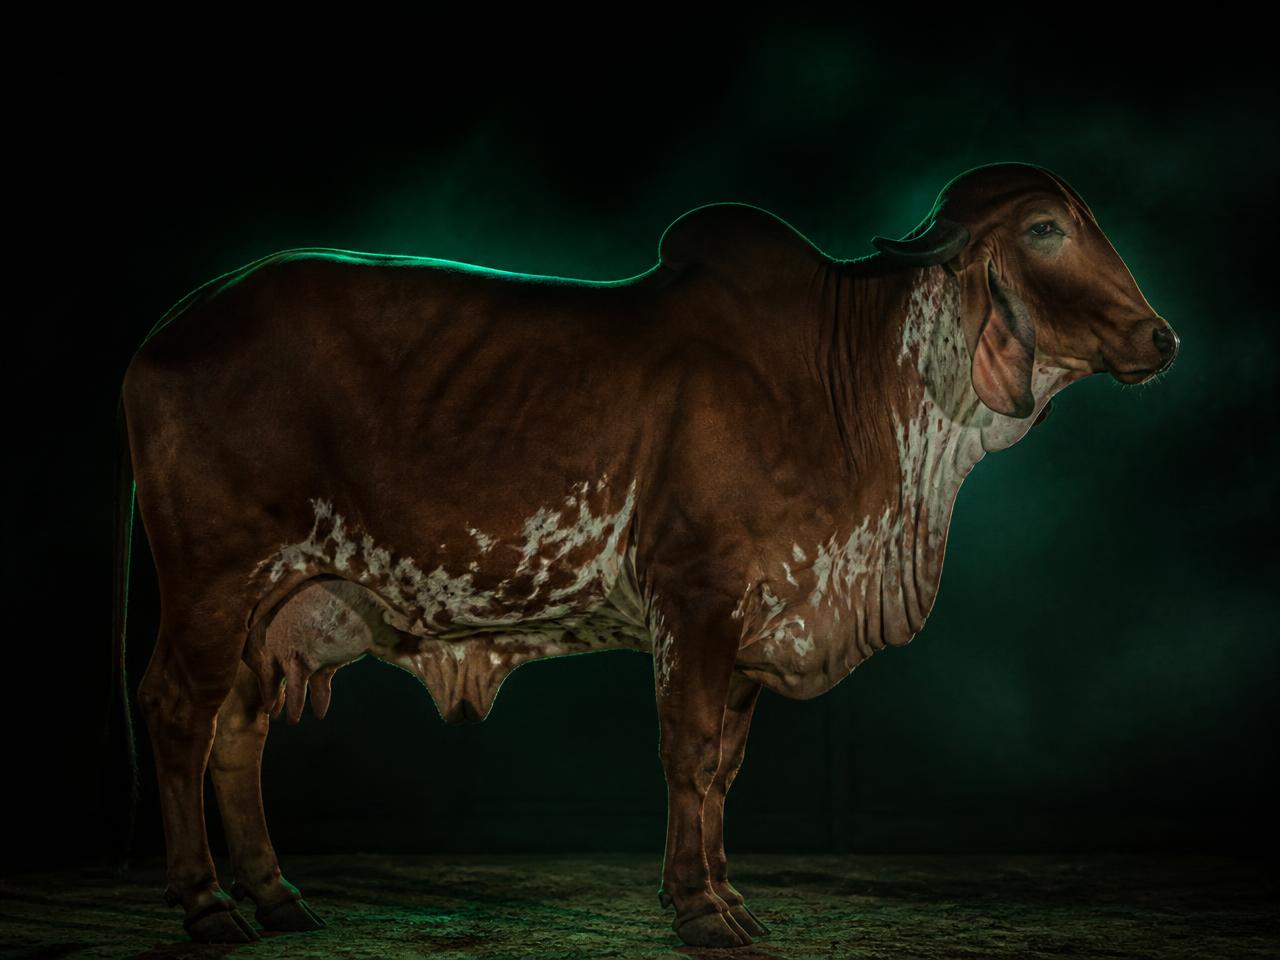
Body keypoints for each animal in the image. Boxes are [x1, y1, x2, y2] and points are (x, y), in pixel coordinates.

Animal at [115, 161, 1177, 947]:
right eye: (1045, 229)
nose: (1160, 336)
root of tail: (175, 322)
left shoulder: (755, 621)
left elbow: (723, 767)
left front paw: (722, 894)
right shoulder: (695, 595)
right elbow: (688, 749)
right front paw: (701, 910)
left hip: (275, 603)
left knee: (239, 729)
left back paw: (277, 896)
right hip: (213, 576)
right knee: (176, 712)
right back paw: (207, 905)